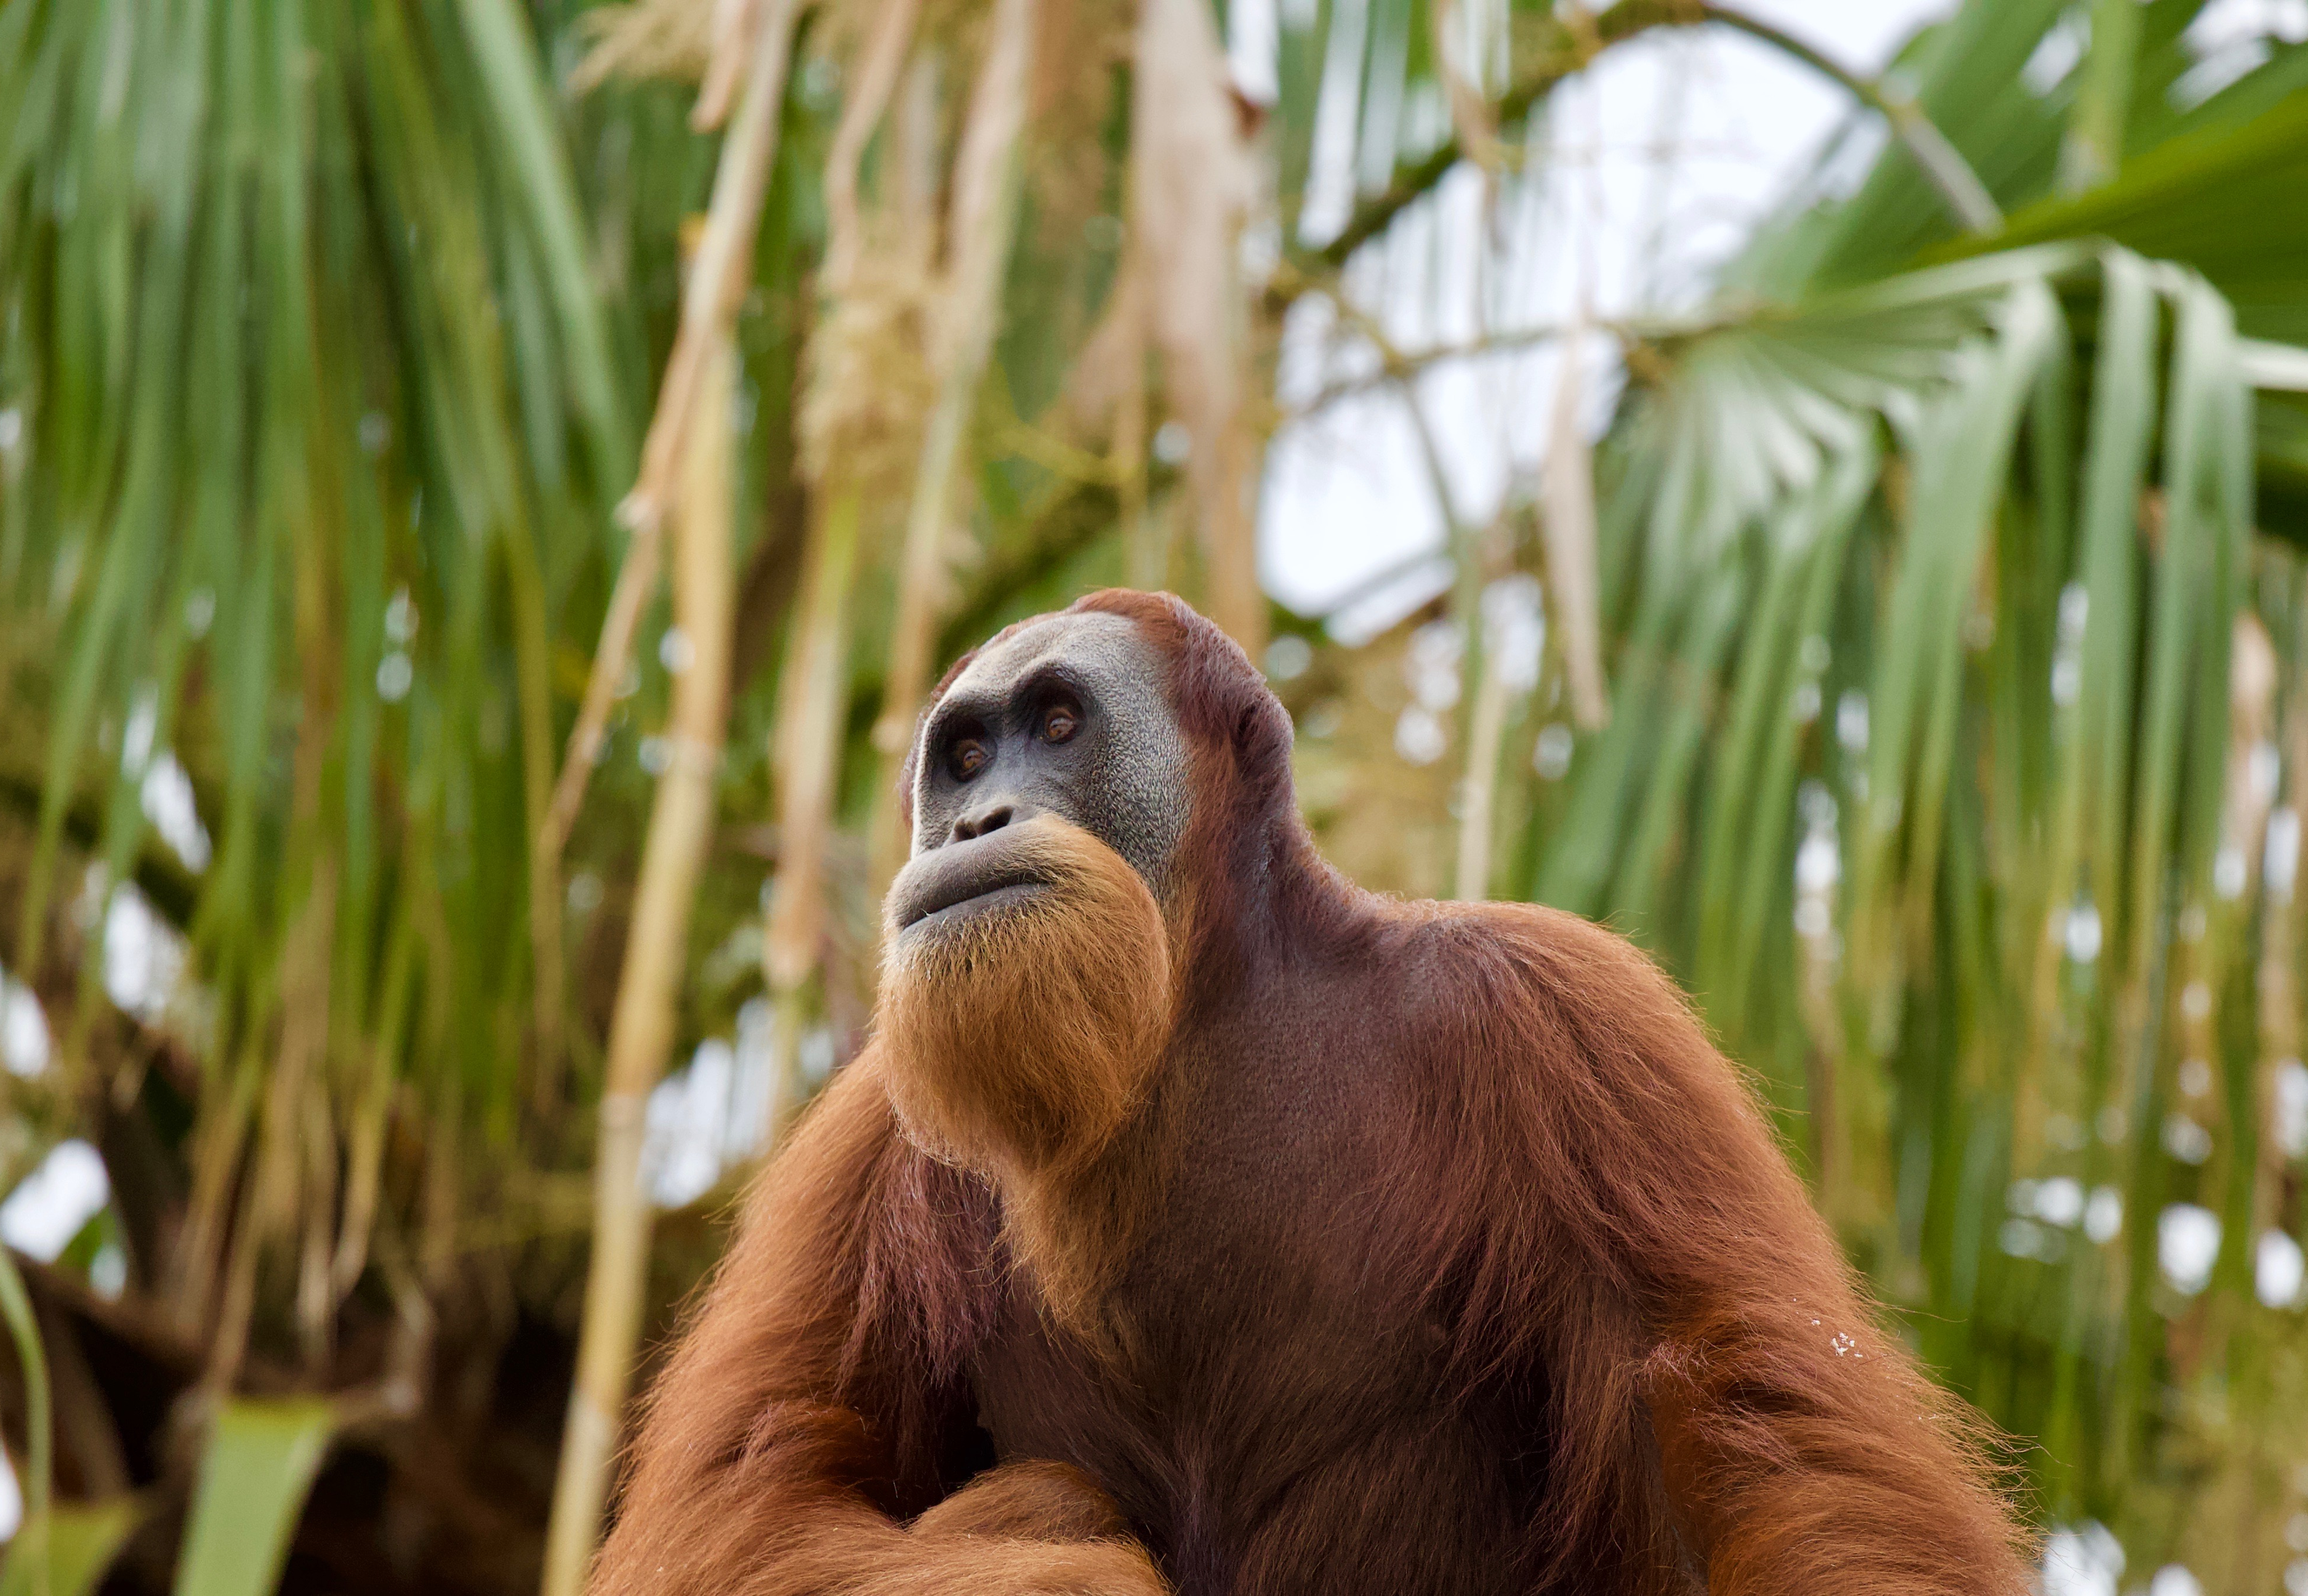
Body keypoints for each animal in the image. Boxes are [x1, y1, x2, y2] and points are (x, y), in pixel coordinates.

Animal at [589, 589, 2031, 1596]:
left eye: (1055, 725)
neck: (1196, 1015)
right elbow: (747, 1508)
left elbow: (1757, 1441)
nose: (971, 825)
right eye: (962, 755)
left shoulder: (1568, 1019)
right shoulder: (869, 1137)